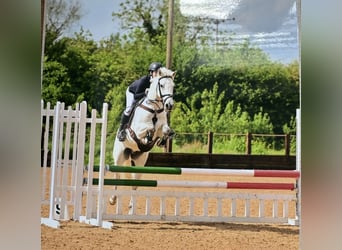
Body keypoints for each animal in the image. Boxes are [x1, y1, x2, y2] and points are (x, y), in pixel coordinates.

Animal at [110, 67, 176, 213]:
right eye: (162, 85)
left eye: (173, 86)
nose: (169, 105)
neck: (155, 108)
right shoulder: (137, 129)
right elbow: (148, 128)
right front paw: (148, 137)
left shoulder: (163, 126)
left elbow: (165, 129)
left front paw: (162, 139)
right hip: (119, 156)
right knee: (116, 175)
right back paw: (112, 199)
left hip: (140, 161)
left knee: (135, 184)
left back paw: (131, 209)